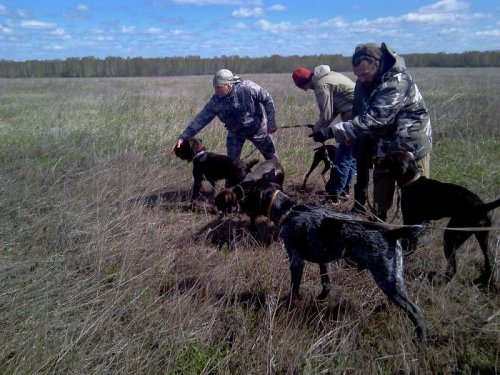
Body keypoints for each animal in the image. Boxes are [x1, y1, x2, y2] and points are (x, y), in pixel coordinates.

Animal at [241, 181, 426, 344]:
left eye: (251, 193)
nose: (240, 202)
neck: (289, 211)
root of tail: (392, 233)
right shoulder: (324, 261)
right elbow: (326, 284)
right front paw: (321, 298)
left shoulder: (296, 261)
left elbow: (294, 288)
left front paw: (286, 304)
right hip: (392, 279)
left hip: (386, 277)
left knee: (415, 311)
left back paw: (421, 339)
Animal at [378, 151, 500, 284]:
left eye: (389, 157)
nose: (375, 159)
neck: (413, 181)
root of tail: (482, 206)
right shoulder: (421, 222)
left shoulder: (410, 221)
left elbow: (409, 241)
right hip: (481, 237)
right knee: (488, 262)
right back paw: (483, 280)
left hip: (450, 236)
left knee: (453, 268)